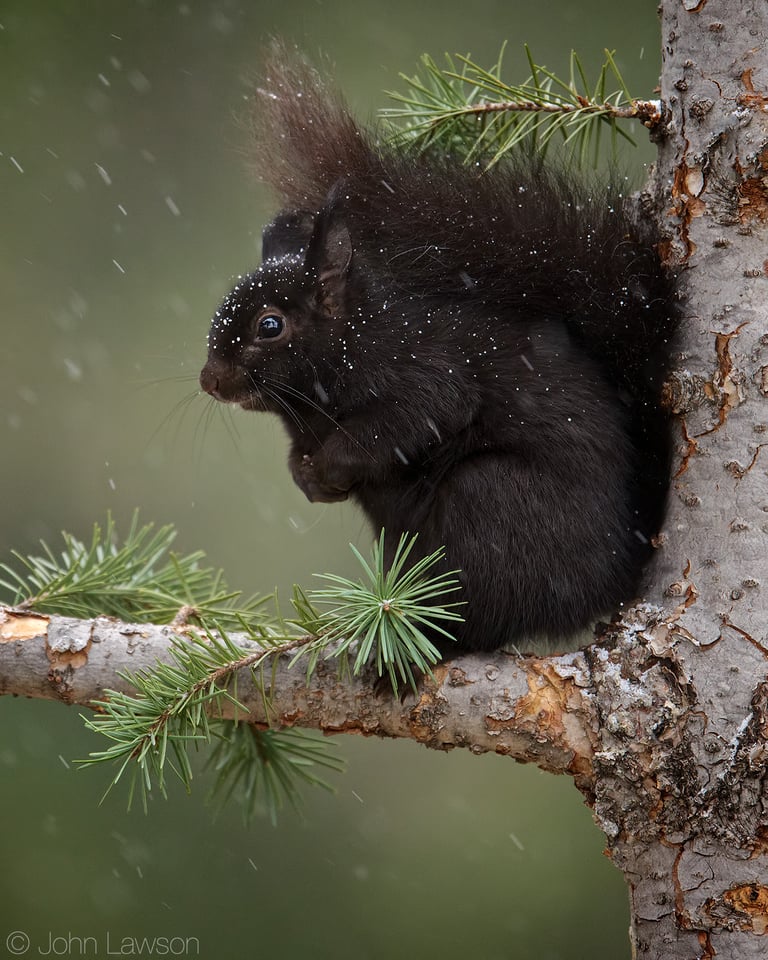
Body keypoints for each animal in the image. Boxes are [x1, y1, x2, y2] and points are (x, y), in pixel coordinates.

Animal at [201, 52, 676, 652]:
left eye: (270, 325)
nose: (210, 379)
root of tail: (618, 573)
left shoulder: (423, 369)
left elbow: (415, 417)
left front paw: (328, 465)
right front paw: (305, 477)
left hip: (491, 500)